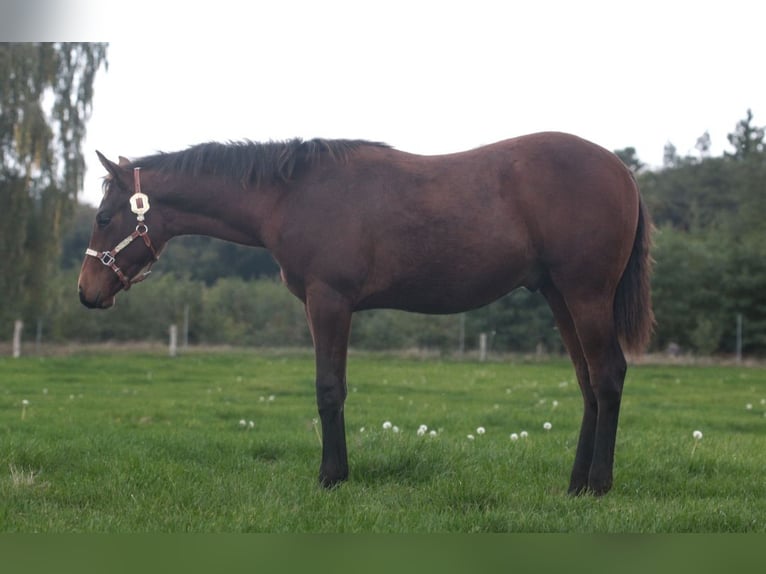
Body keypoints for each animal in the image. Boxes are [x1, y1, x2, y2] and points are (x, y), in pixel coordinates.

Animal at [78, 132, 653, 495]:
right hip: (559, 295)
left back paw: (598, 484)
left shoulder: (329, 300)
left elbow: (329, 389)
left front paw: (331, 476)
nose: (86, 292)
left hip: (585, 294)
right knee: (587, 381)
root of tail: (622, 171)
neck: (291, 194)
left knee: (608, 376)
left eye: (104, 217)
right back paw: (575, 484)